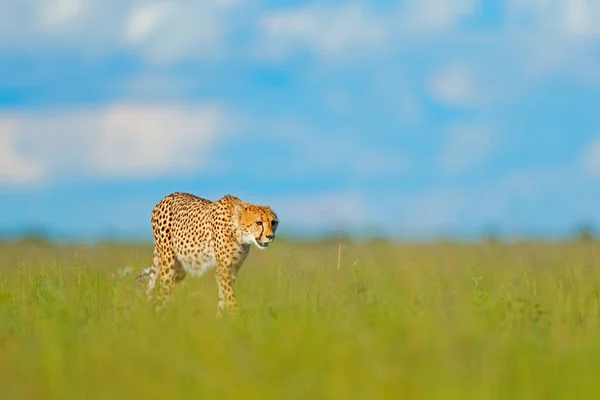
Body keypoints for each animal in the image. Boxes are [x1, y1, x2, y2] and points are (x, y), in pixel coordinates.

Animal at [137, 192, 278, 314]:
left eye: (273, 222)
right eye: (258, 223)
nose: (270, 236)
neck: (238, 231)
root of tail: (166, 197)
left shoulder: (233, 267)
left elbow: (223, 295)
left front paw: (221, 318)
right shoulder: (224, 268)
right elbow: (229, 296)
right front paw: (237, 318)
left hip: (180, 270)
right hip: (168, 263)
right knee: (162, 292)